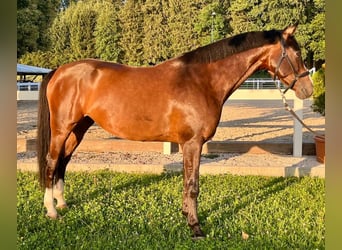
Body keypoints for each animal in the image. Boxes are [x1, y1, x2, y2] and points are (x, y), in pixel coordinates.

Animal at [36, 25, 312, 238]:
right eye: (297, 53)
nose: (308, 89)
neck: (202, 80)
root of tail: (59, 71)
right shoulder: (193, 143)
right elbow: (192, 184)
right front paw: (195, 227)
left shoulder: (188, 144)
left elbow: (187, 181)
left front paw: (185, 215)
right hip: (61, 129)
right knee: (52, 162)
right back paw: (51, 210)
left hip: (78, 129)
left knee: (64, 161)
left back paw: (62, 203)